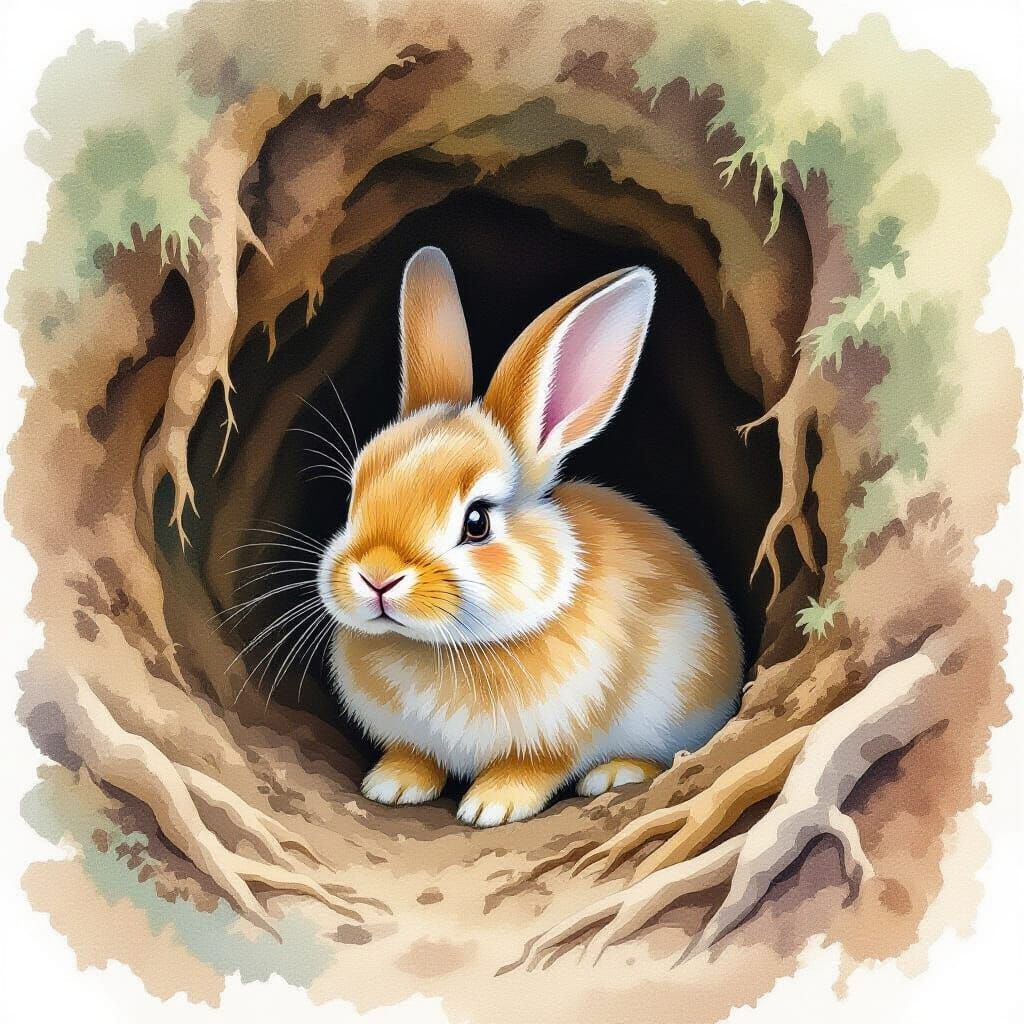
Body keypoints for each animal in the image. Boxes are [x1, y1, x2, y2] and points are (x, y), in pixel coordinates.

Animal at [317, 246, 743, 827]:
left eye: (477, 522)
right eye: (353, 496)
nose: (377, 576)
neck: (439, 647)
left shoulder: (562, 731)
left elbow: (536, 767)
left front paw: (491, 806)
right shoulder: (414, 738)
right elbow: (415, 755)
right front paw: (392, 785)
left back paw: (616, 774)